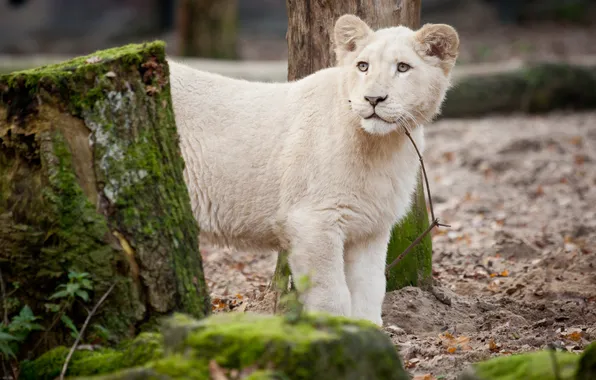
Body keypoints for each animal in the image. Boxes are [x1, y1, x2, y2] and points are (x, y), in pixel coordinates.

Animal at [169, 14, 460, 326]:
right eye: (363, 66)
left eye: (403, 67)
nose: (372, 99)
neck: (383, 145)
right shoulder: (312, 220)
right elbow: (331, 295)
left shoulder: (371, 227)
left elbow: (370, 289)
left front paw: (368, 330)